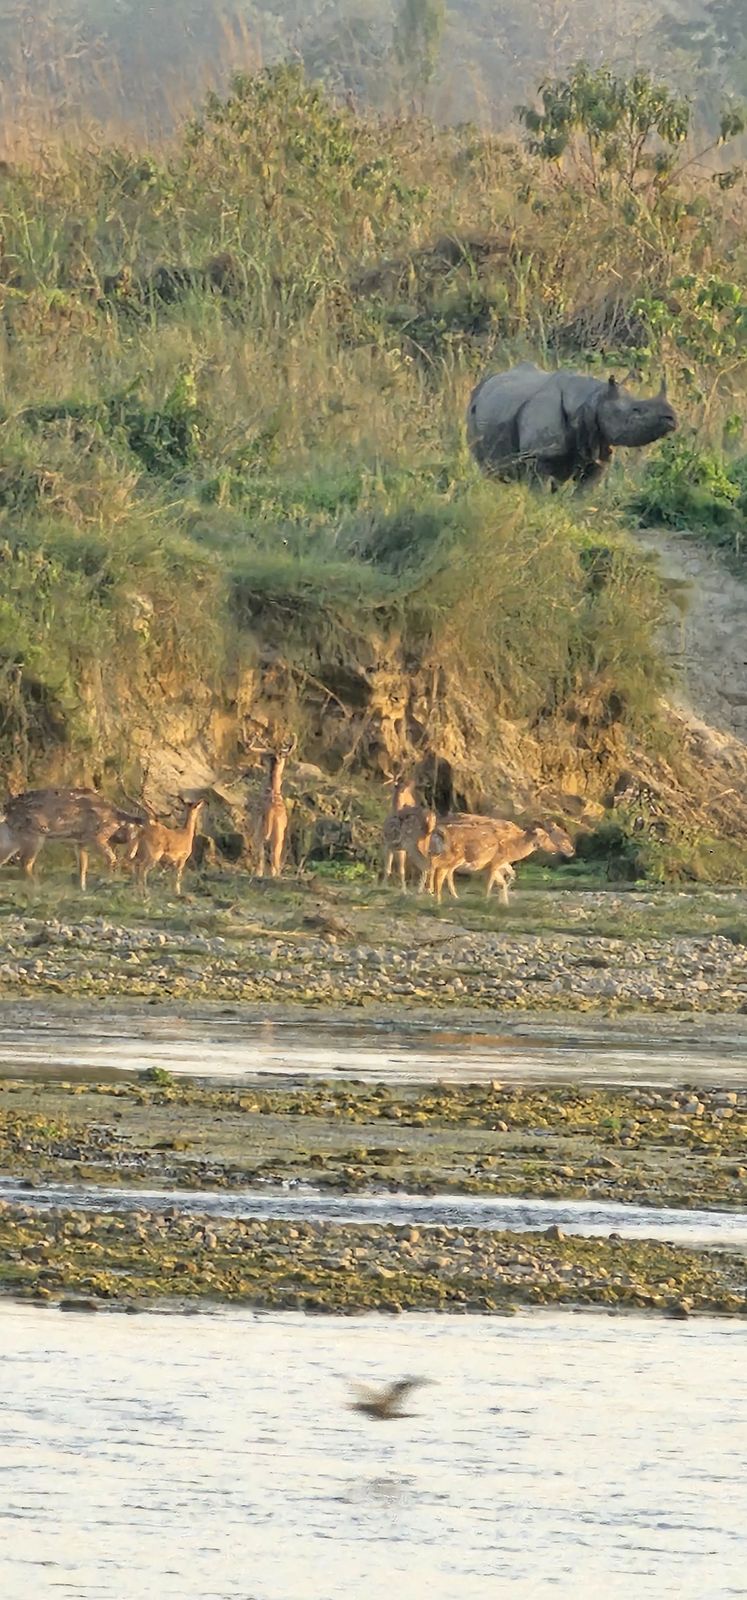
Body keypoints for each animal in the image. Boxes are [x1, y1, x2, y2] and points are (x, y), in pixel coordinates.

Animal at [467, 362, 676, 487]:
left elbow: (583, 493)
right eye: (636, 411)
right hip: (475, 404)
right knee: (487, 467)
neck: (591, 400)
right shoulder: (539, 455)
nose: (672, 418)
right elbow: (540, 488)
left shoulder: (598, 446)